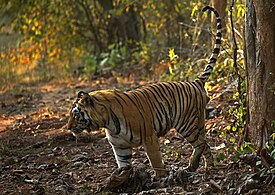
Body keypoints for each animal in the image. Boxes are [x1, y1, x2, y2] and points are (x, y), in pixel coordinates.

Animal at [67, 5, 222, 178]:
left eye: (75, 114)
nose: (68, 128)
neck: (107, 122)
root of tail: (195, 82)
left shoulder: (149, 138)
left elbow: (156, 162)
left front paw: (160, 179)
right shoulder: (120, 146)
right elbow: (124, 164)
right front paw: (123, 178)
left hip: (185, 123)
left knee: (200, 144)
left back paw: (193, 166)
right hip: (199, 122)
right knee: (206, 144)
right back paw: (207, 167)